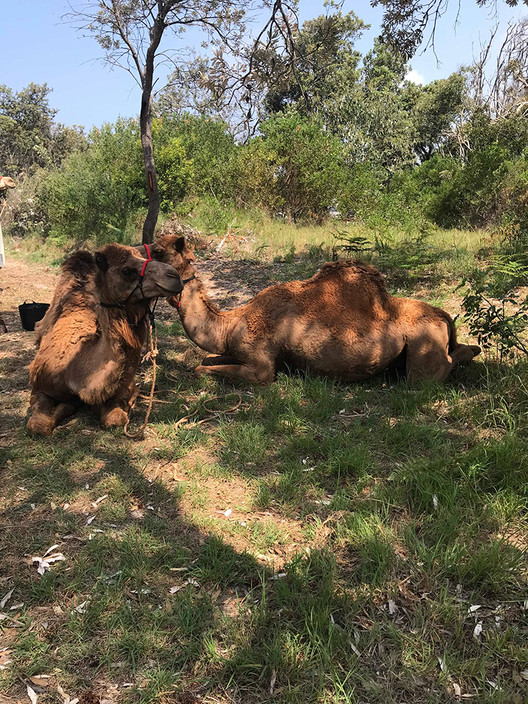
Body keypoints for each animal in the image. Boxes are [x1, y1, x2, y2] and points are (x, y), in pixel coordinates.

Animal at [138, 235, 480, 390]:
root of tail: (443, 315)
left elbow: (201, 369)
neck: (231, 322)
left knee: (431, 373)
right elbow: (208, 359)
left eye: (160, 251)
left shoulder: (262, 367)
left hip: (422, 350)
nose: (133, 258)